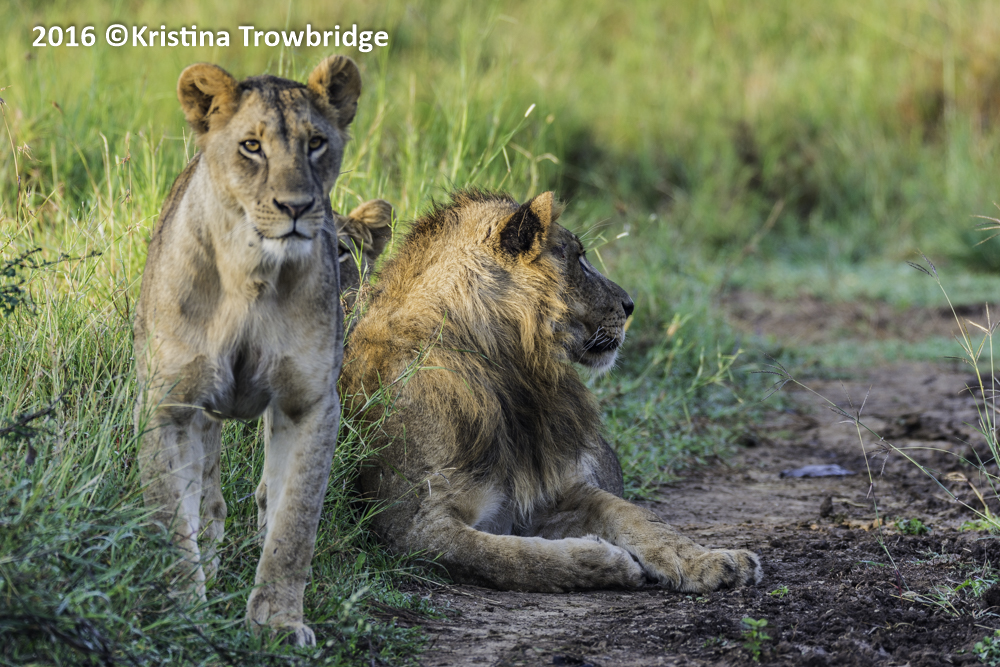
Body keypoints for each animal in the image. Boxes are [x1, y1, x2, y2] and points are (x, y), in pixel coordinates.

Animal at [133, 55, 363, 646]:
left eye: (315, 143)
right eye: (252, 146)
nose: (296, 207)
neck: (252, 273)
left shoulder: (309, 403)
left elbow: (294, 522)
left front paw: (278, 622)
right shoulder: (168, 403)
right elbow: (172, 520)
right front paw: (181, 613)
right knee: (206, 495)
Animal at [342, 190, 763, 593]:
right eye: (578, 258)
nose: (630, 305)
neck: (507, 371)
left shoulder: (558, 491)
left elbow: (639, 517)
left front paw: (712, 561)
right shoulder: (410, 529)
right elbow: (508, 558)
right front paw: (608, 561)